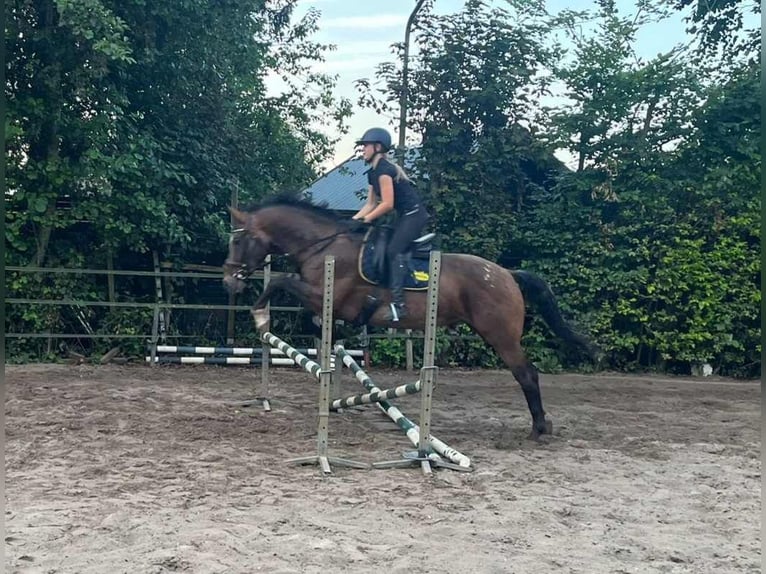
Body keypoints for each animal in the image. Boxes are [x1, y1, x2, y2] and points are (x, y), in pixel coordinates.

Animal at [222, 194, 592, 440]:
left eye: (238, 242)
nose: (228, 281)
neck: (323, 245)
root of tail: (507, 274)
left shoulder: (323, 293)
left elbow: (281, 282)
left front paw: (260, 317)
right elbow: (309, 315)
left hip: (500, 336)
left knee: (527, 374)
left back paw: (539, 428)